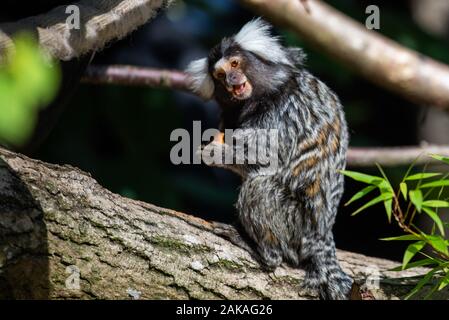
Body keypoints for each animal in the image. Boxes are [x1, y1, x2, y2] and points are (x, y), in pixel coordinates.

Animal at [186, 18, 354, 300]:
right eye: (220, 76)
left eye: (235, 64)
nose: (232, 80)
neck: (264, 94)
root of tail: (321, 236)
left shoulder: (285, 111)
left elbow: (266, 159)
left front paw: (214, 154)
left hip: (296, 226)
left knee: (259, 189)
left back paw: (259, 250)